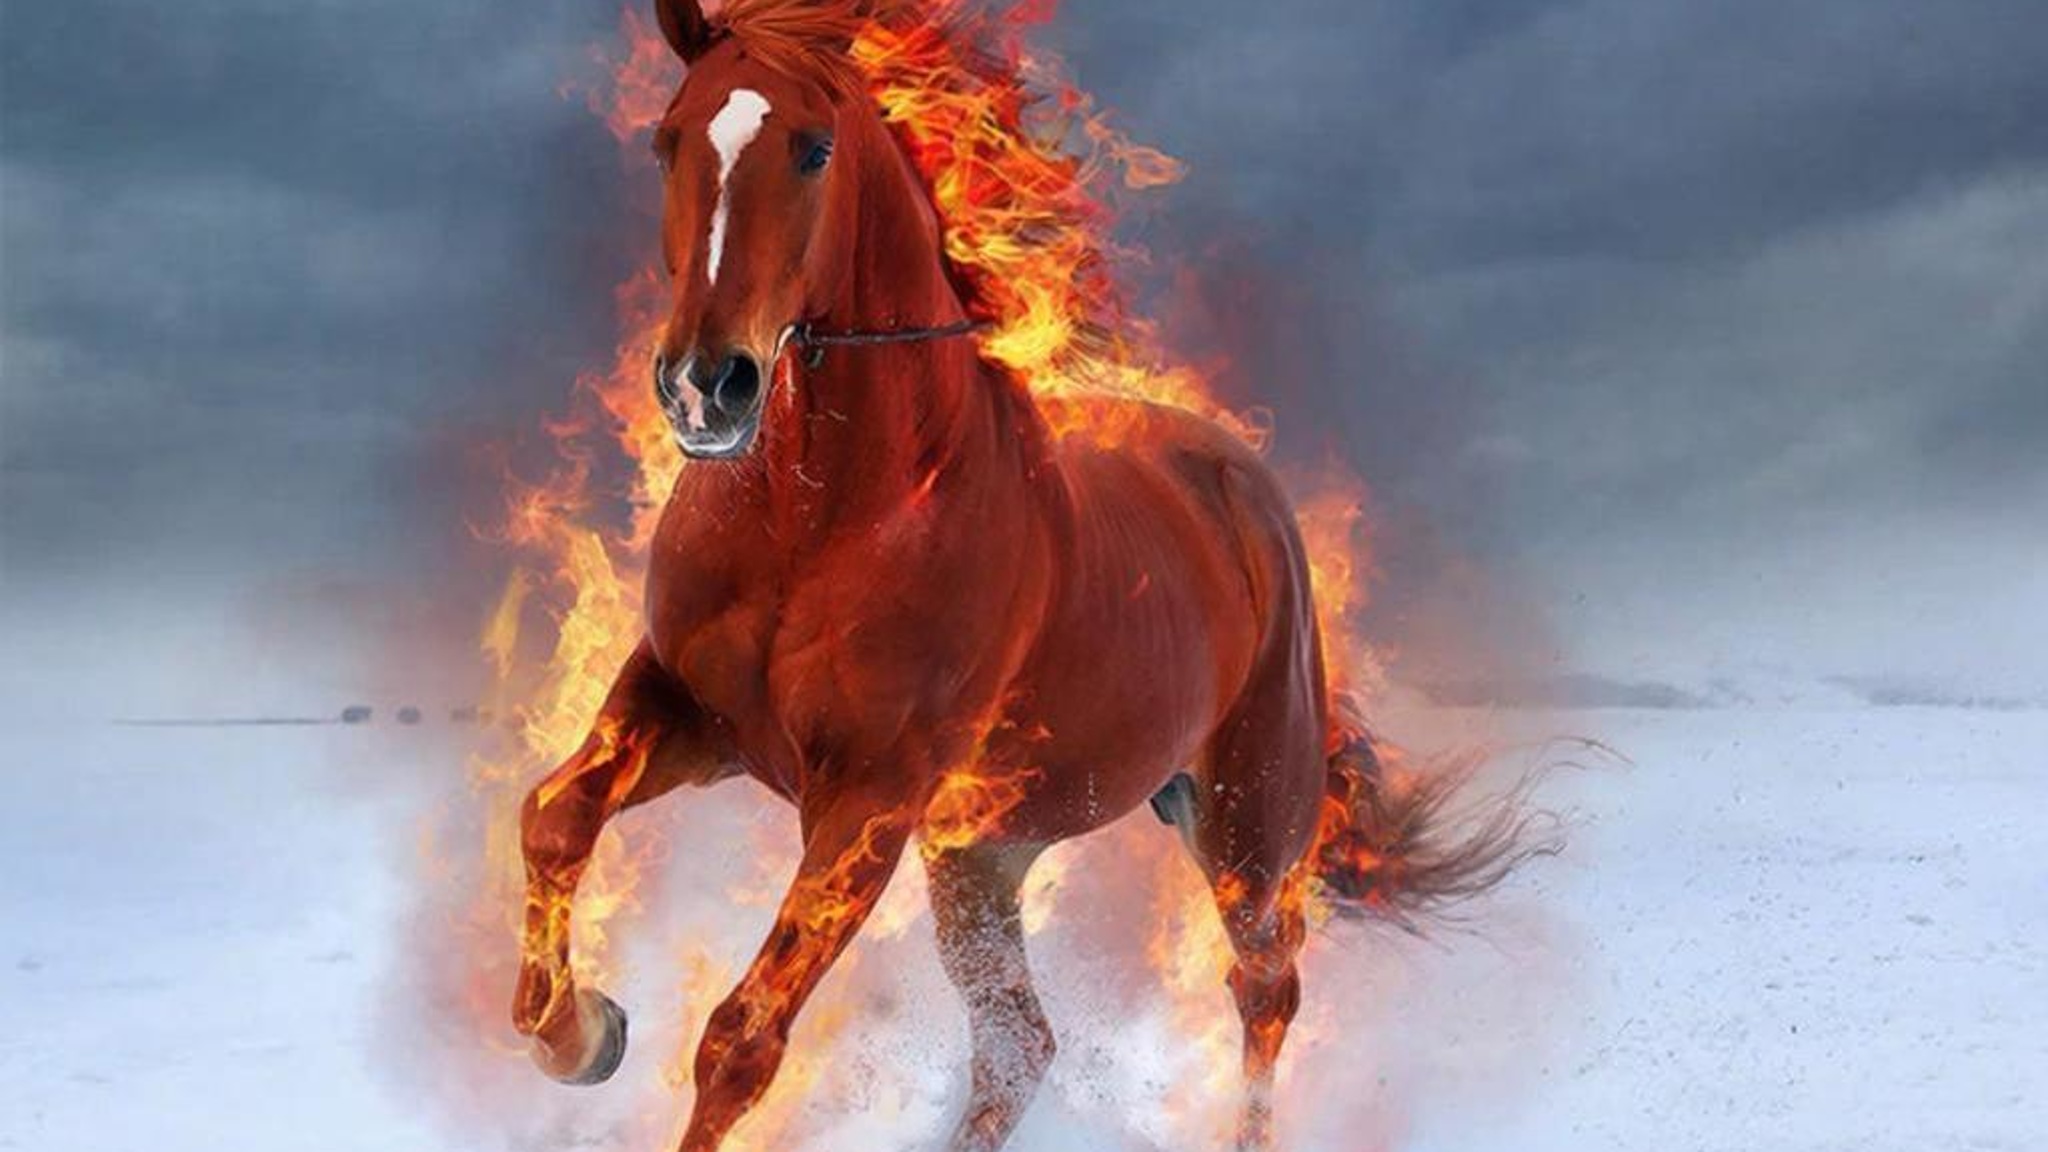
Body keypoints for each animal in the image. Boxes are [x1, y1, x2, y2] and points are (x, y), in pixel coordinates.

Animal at [508, 2, 1542, 1149]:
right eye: (666, 141)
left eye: (813, 149)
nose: (705, 386)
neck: (820, 521)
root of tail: (1244, 489)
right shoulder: (687, 710)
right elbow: (552, 818)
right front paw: (583, 1034)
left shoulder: (867, 799)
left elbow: (741, 1038)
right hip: (980, 857)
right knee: (1022, 1041)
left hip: (1245, 818)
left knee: (1263, 988)